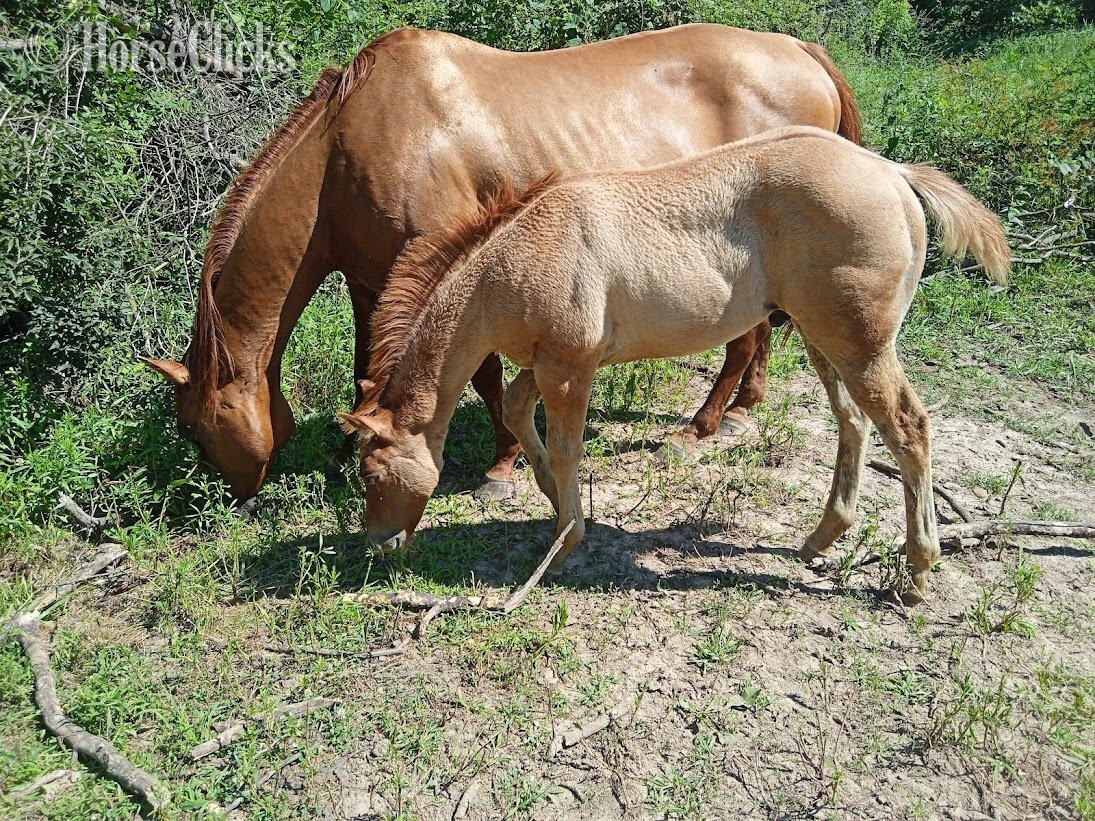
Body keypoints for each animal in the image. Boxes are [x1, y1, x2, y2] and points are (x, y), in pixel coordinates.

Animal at [140, 24, 862, 501]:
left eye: (191, 427)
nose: (228, 497)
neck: (347, 147)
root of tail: (800, 50)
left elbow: (483, 374)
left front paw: (500, 466)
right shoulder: (370, 282)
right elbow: (364, 366)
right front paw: (351, 448)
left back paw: (705, 424)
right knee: (760, 330)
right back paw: (741, 408)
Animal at [339, 126, 1011, 603]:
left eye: (371, 474)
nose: (379, 547)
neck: (509, 266)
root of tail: (893, 174)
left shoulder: (569, 368)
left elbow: (566, 446)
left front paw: (565, 540)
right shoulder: (547, 362)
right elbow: (517, 409)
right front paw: (548, 494)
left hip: (861, 346)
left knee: (909, 428)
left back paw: (917, 573)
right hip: (826, 341)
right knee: (854, 423)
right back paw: (819, 540)